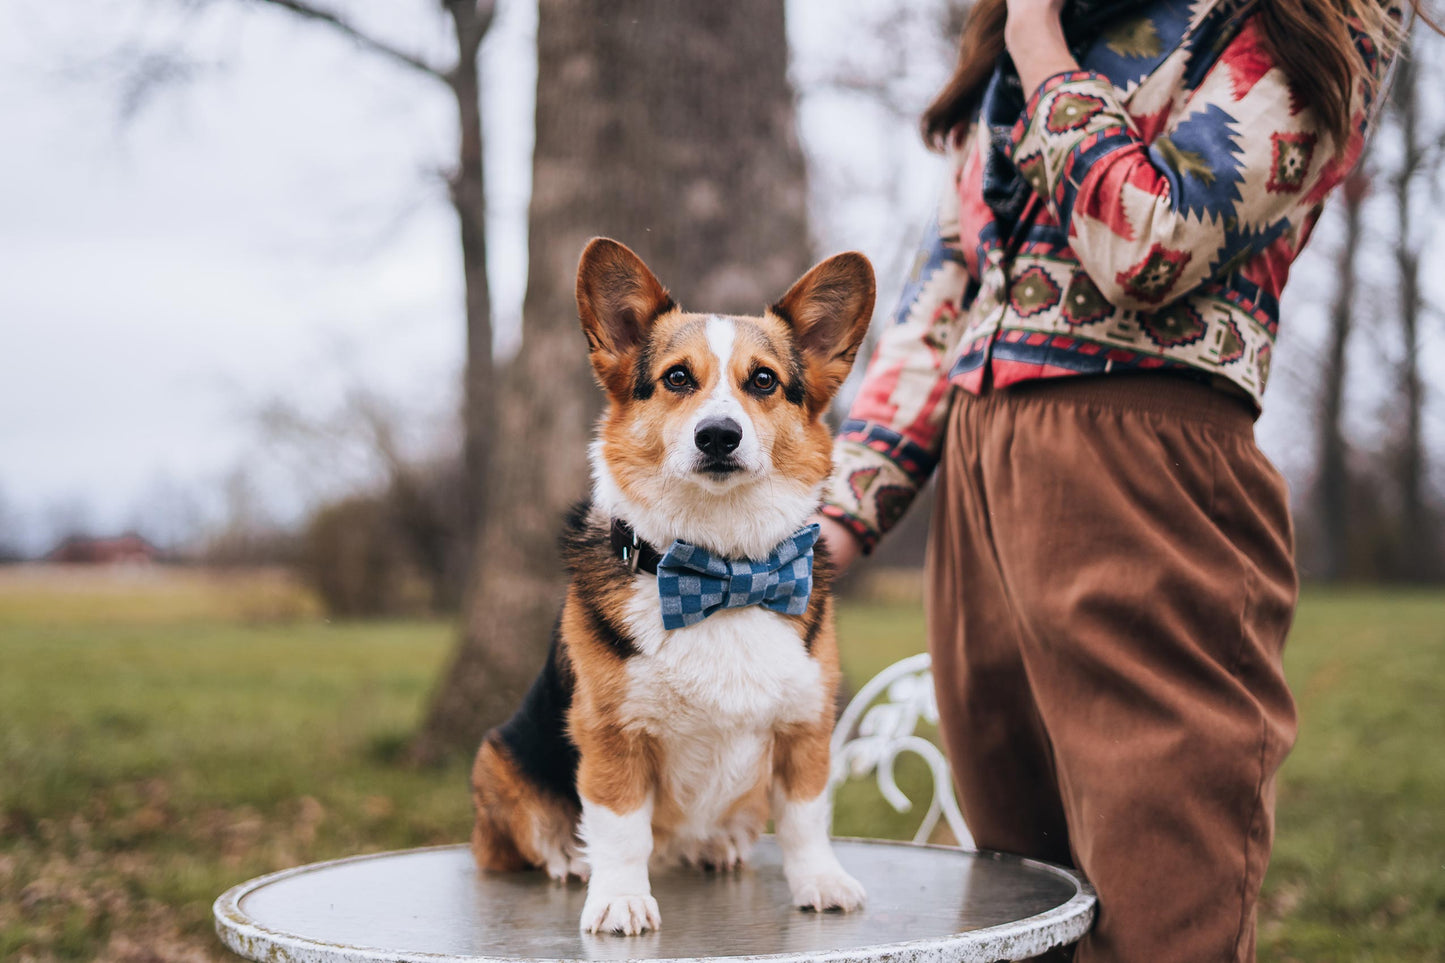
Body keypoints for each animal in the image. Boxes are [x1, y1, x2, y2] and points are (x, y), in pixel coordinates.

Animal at [473, 238, 872, 931]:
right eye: (677, 378)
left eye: (763, 380)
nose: (718, 435)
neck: (726, 572)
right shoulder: (613, 735)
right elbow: (621, 829)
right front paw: (620, 900)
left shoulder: (805, 727)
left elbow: (805, 819)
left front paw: (821, 882)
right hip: (498, 757)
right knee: (532, 835)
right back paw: (570, 858)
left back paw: (713, 845)